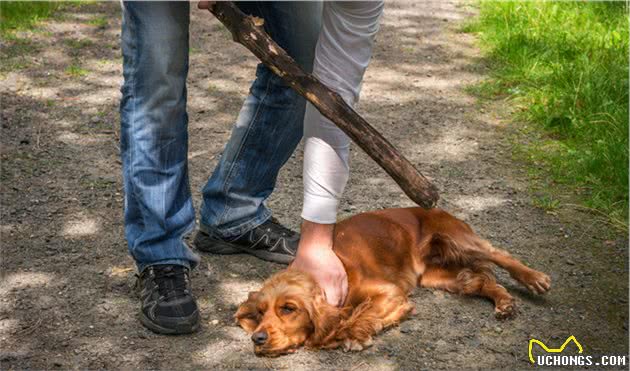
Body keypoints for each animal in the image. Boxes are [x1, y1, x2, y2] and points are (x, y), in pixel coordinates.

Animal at [235, 208, 552, 356]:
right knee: (479, 281)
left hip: (458, 239)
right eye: (260, 313)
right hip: (439, 276)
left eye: (289, 309)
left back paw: (535, 278)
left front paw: (351, 335)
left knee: (499, 255)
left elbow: (362, 313)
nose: (257, 339)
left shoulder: (390, 292)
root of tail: (435, 208)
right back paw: (505, 303)